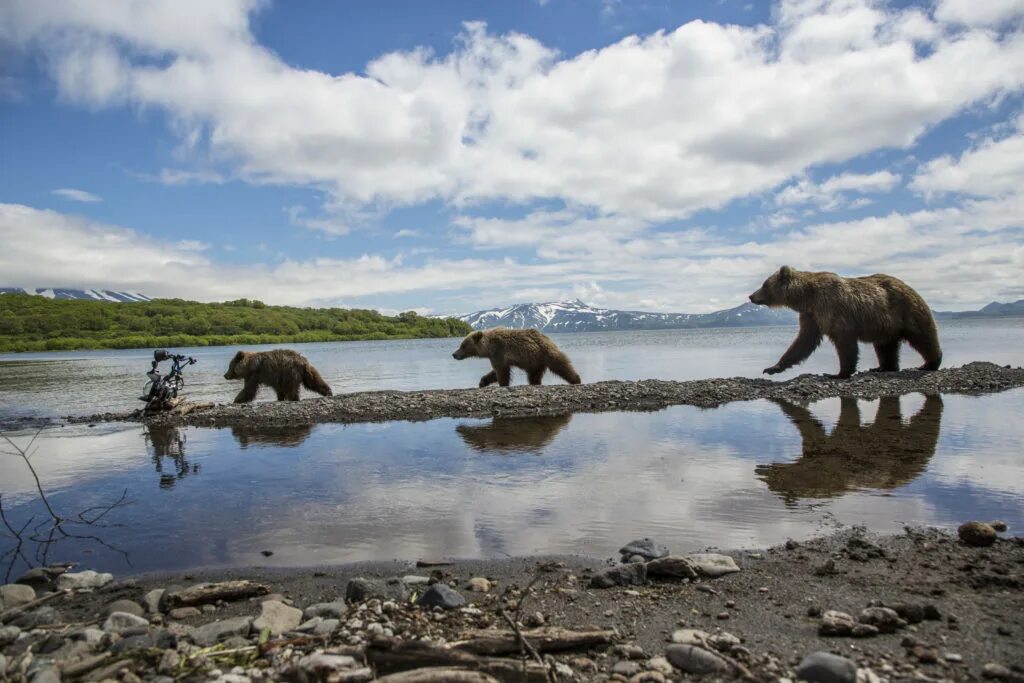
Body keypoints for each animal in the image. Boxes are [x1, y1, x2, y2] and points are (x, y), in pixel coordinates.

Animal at [749, 266, 937, 378]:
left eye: (764, 284)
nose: (751, 296)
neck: (807, 297)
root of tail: (910, 287)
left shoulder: (833, 308)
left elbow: (844, 342)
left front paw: (839, 373)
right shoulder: (811, 316)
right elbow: (804, 342)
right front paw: (773, 367)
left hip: (907, 310)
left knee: (922, 336)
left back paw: (929, 363)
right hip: (886, 325)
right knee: (885, 346)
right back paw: (883, 367)